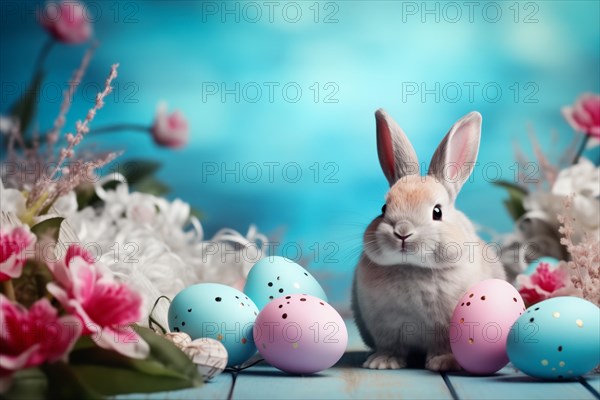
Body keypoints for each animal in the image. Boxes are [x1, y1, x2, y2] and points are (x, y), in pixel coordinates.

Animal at [352, 108, 506, 372]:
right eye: (383, 208)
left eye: (437, 212)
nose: (402, 231)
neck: (412, 267)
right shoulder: (385, 328)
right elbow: (391, 346)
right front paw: (382, 362)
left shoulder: (445, 328)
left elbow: (442, 347)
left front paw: (443, 363)